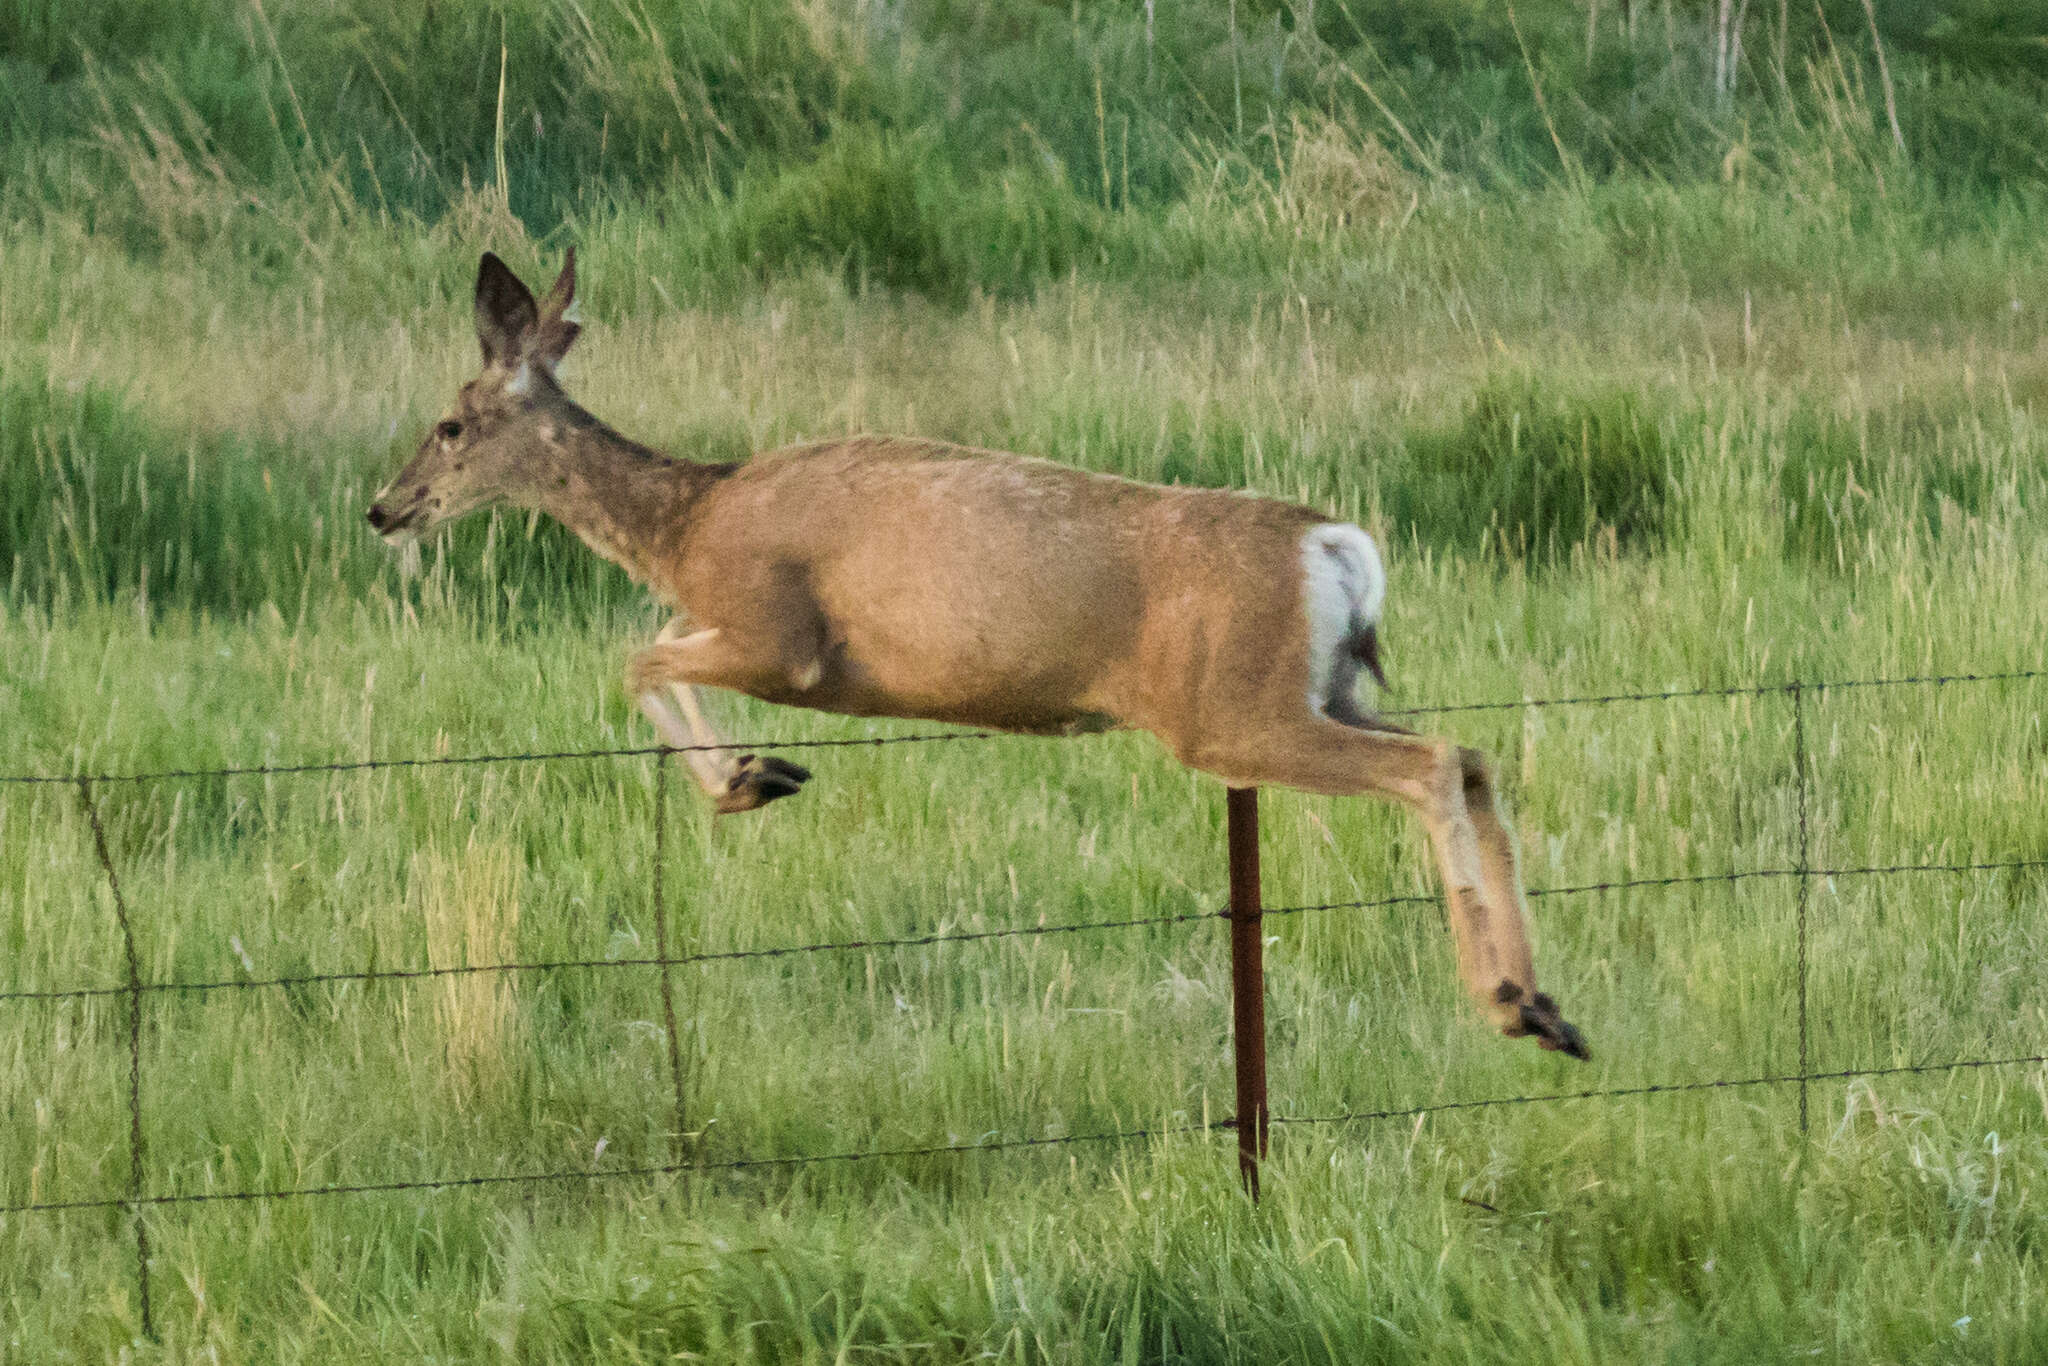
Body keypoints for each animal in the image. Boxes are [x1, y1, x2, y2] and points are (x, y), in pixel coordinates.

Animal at [364, 259, 1581, 1064]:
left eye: (452, 425)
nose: (385, 507)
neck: (688, 523)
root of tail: (1332, 547)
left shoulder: (784, 637)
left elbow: (631, 656)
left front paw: (751, 779)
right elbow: (646, 651)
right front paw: (753, 776)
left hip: (1232, 709)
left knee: (1432, 766)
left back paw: (1503, 999)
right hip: (1321, 688)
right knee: (1472, 755)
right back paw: (1548, 1009)